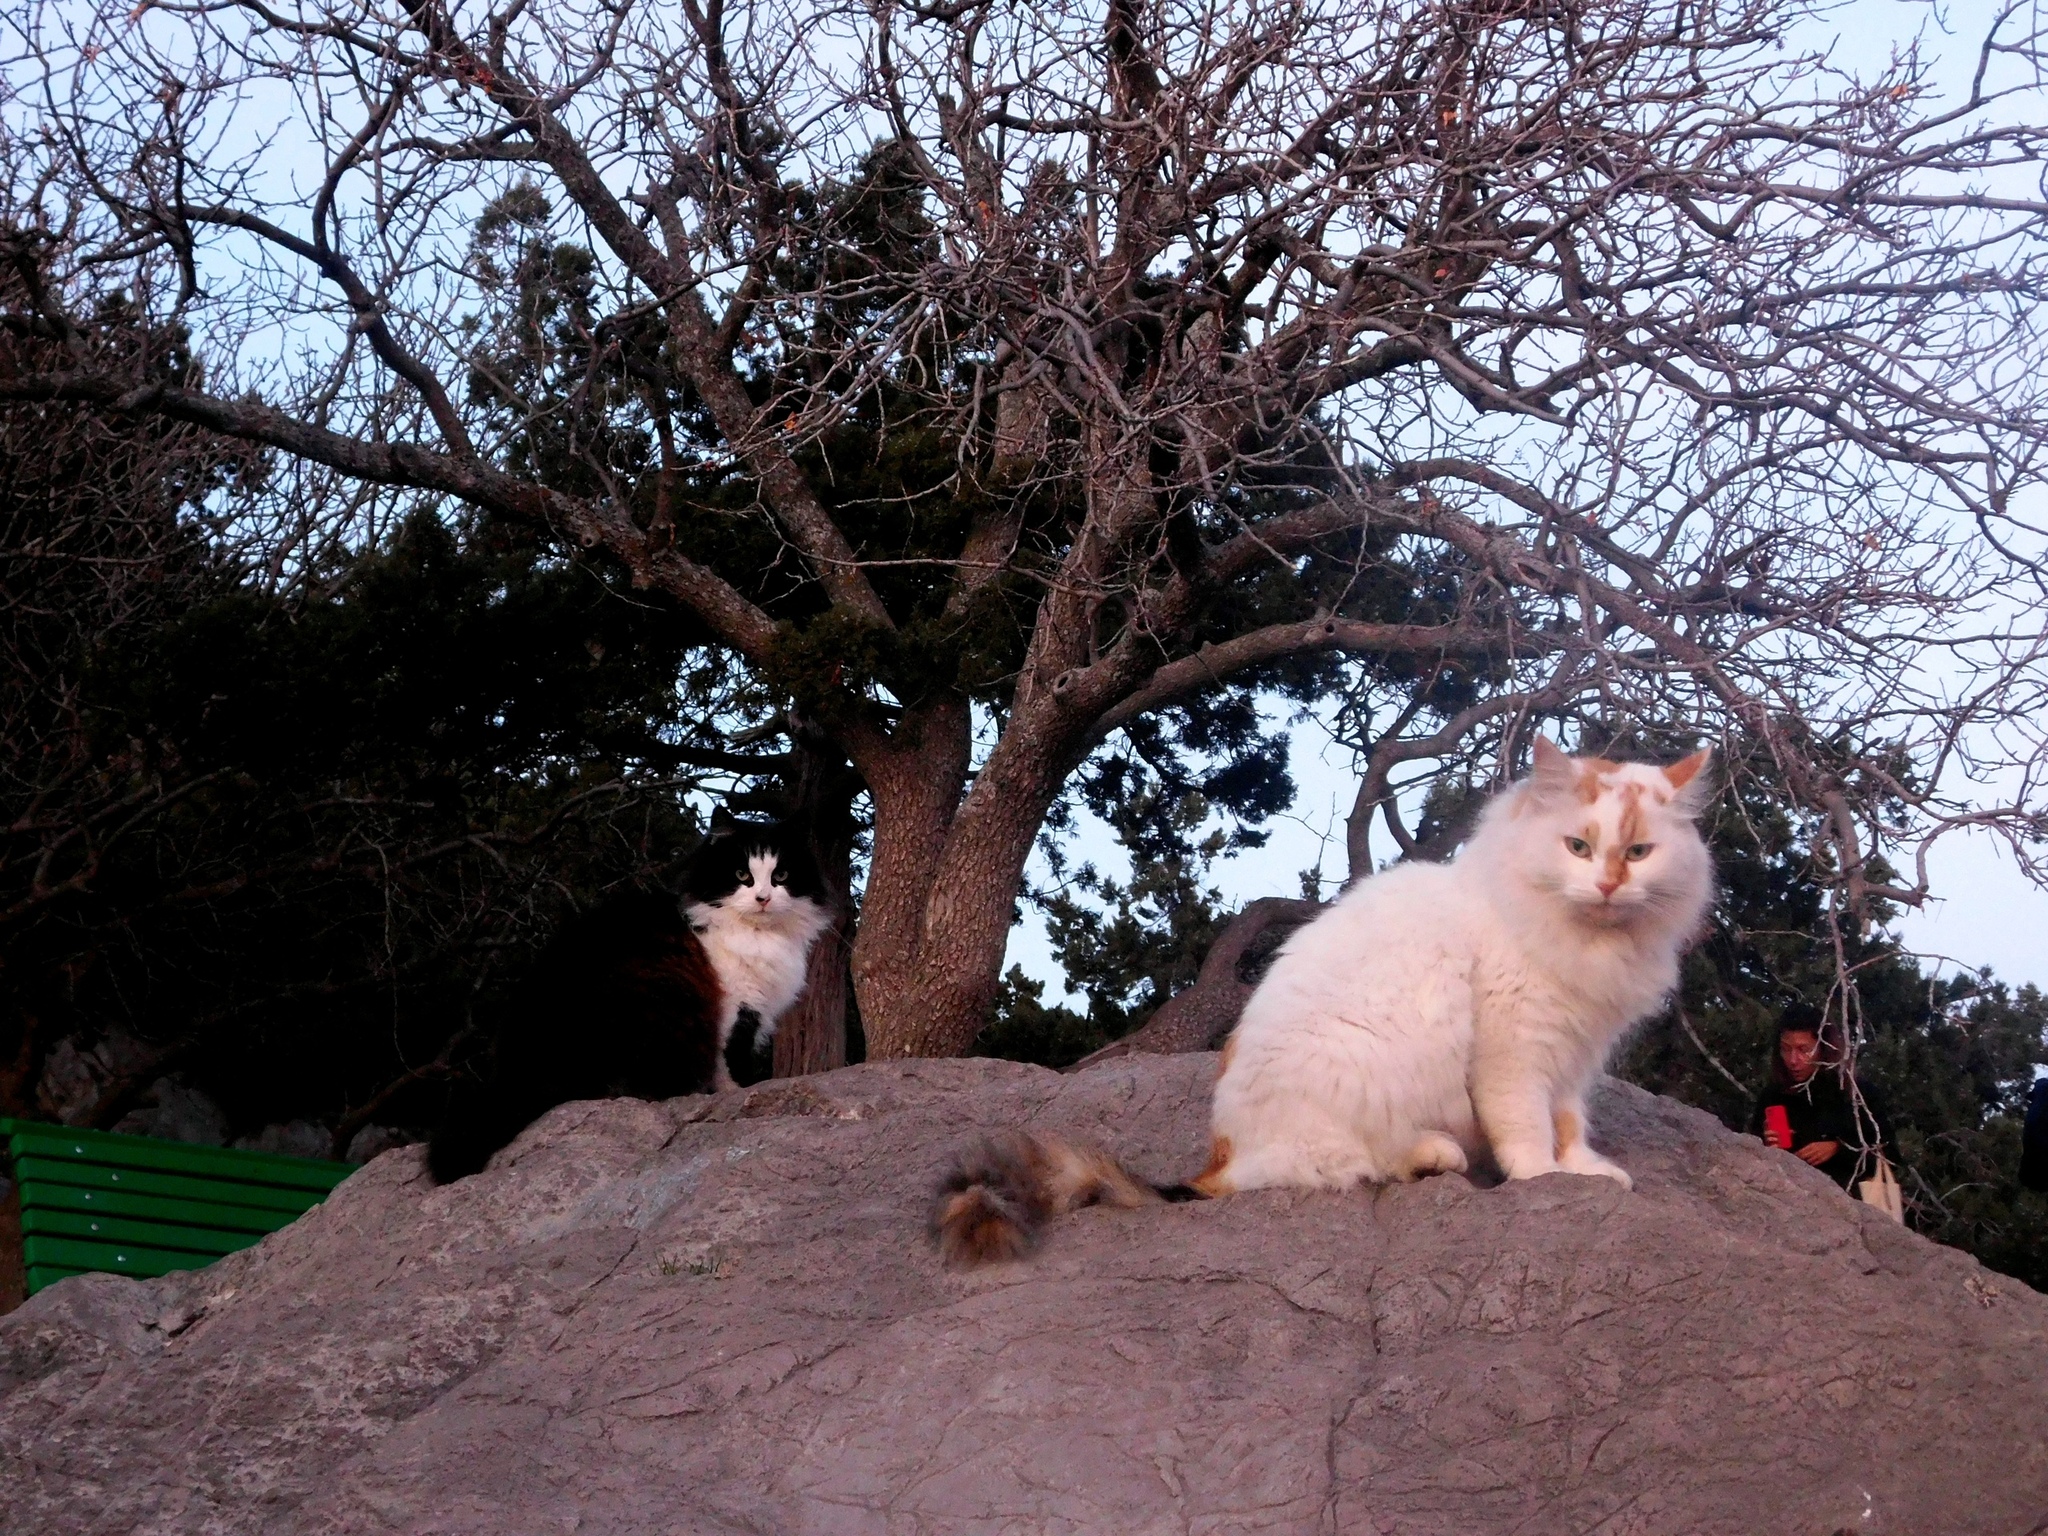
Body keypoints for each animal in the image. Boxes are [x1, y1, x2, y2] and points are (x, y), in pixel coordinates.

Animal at [428, 823, 835, 1187]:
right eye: (741, 875)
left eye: (780, 875)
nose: (763, 898)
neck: (758, 935)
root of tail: (518, 1067)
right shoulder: (737, 1005)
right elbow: (730, 1063)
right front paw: (734, 1094)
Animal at [929, 741, 1712, 1269]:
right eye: (1578, 846)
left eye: (1637, 854)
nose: (1608, 886)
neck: (1587, 945)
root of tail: (1221, 1161)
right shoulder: (1516, 1048)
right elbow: (1526, 1129)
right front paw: (1543, 1176)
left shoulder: (1577, 1052)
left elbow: (1572, 1123)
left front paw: (1585, 1170)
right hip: (1366, 1071)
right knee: (1362, 1163)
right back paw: (1438, 1154)